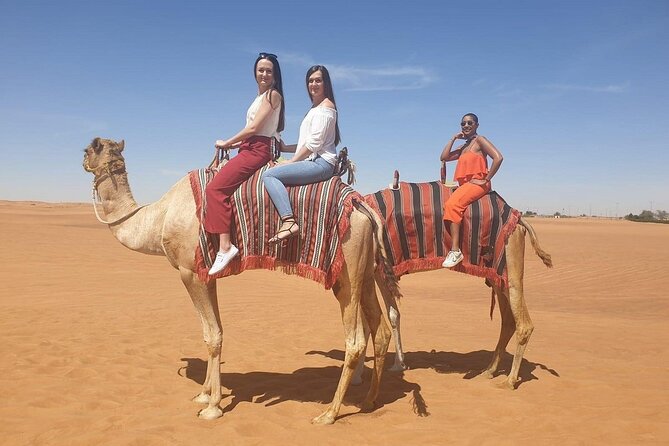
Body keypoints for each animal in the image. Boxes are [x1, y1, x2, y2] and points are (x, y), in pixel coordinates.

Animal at [83, 138, 396, 424]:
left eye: (89, 149)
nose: (83, 161)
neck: (159, 217)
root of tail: (362, 206)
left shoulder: (189, 271)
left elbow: (212, 336)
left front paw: (212, 407)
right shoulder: (207, 275)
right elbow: (216, 331)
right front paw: (205, 394)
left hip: (346, 272)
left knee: (355, 340)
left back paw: (329, 414)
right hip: (366, 272)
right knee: (380, 330)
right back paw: (369, 401)